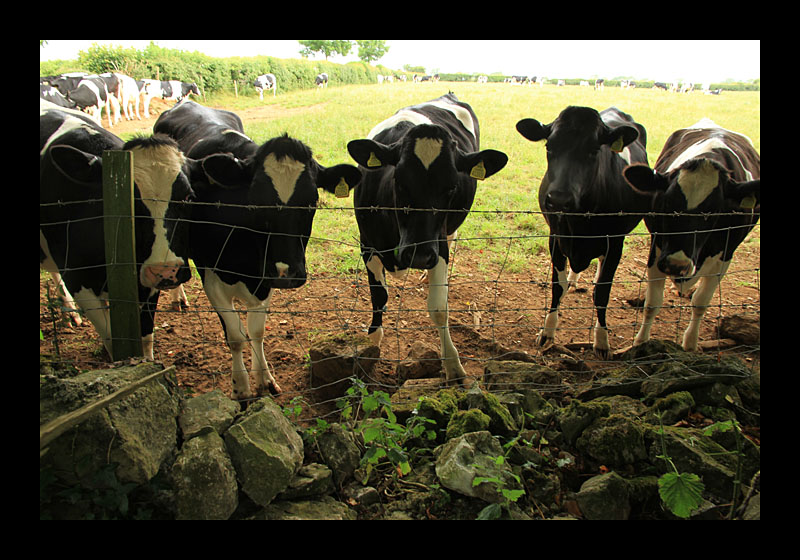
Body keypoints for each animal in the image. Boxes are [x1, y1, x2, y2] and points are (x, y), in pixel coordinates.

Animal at [40, 100, 195, 358]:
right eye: (129, 202)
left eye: (188, 197)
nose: (166, 271)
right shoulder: (77, 278)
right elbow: (113, 338)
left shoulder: (145, 282)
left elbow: (145, 337)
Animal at [153, 98, 360, 400]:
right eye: (256, 201)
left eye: (312, 201)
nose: (288, 274)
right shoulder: (210, 276)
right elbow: (235, 336)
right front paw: (240, 386)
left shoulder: (265, 277)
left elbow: (257, 331)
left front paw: (264, 379)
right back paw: (177, 295)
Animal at [348, 94, 506, 388]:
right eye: (399, 181)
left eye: (452, 187)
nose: (419, 256)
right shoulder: (367, 244)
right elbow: (378, 296)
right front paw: (372, 344)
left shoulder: (438, 246)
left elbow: (438, 308)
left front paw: (453, 365)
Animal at [620, 119, 760, 350]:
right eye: (667, 202)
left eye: (714, 211)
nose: (676, 265)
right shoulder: (657, 248)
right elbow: (652, 303)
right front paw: (641, 342)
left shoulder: (725, 255)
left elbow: (701, 303)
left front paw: (690, 344)